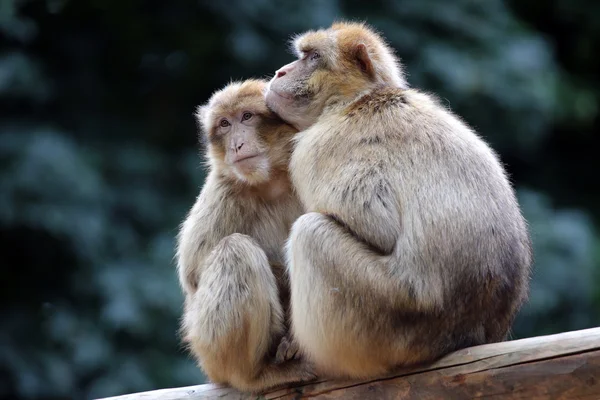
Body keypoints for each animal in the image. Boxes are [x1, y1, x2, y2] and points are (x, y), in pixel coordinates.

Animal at [176, 79, 314, 392]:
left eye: (246, 117)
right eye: (225, 124)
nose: (236, 144)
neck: (271, 181)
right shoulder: (223, 190)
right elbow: (193, 276)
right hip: (208, 351)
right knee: (235, 250)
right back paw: (256, 375)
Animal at [264, 23, 532, 380]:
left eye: (312, 57)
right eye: (302, 55)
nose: (281, 71)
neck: (355, 100)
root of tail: (468, 333)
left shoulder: (316, 149)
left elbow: (378, 225)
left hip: (390, 319)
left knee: (311, 233)